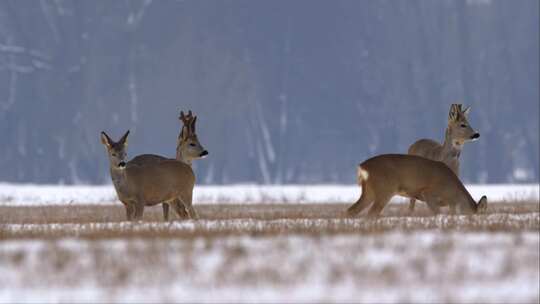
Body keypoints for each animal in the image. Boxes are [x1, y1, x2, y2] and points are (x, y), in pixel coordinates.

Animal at [346, 154, 490, 216]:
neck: (453, 193)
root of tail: (363, 166)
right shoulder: (428, 192)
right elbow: (437, 212)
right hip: (385, 189)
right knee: (371, 212)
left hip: (369, 190)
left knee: (352, 210)